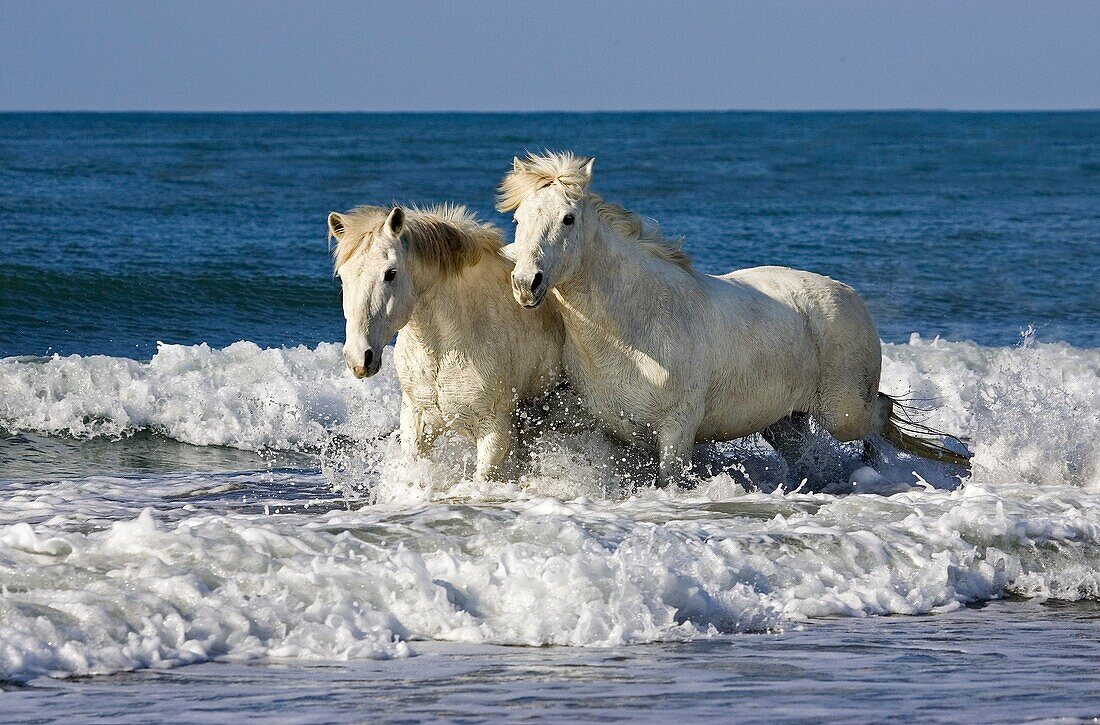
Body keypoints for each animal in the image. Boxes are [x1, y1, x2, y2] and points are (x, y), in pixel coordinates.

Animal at [330, 202, 563, 481]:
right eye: (342, 277)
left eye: (390, 273)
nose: (359, 357)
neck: (443, 349)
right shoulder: (416, 418)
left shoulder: (494, 432)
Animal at [503, 152, 968, 488]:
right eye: (519, 219)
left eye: (568, 218)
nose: (527, 284)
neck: (633, 328)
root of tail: (852, 296)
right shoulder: (619, 431)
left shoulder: (676, 432)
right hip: (786, 423)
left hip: (843, 413)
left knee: (880, 413)